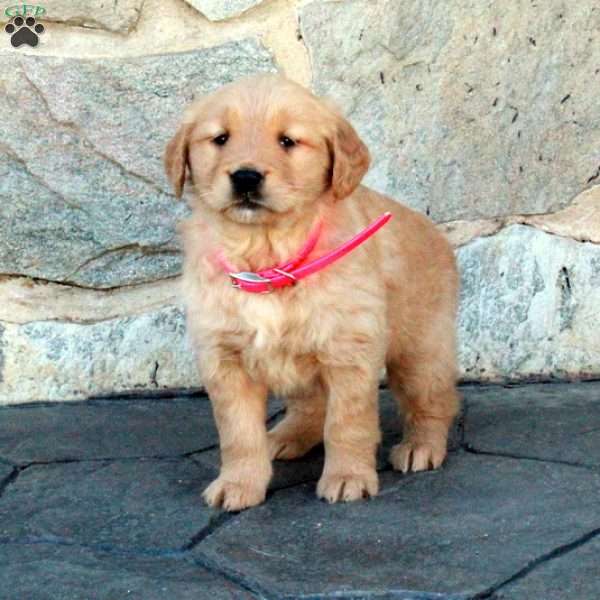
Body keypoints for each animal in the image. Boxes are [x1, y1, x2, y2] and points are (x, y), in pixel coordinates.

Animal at [164, 72, 460, 508]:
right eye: (220, 138)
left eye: (287, 141)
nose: (246, 176)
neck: (267, 256)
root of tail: (436, 232)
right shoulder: (223, 356)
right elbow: (238, 433)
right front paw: (238, 484)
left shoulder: (349, 348)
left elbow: (347, 423)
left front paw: (348, 477)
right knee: (311, 404)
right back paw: (286, 436)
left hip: (421, 349)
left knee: (434, 399)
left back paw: (421, 445)